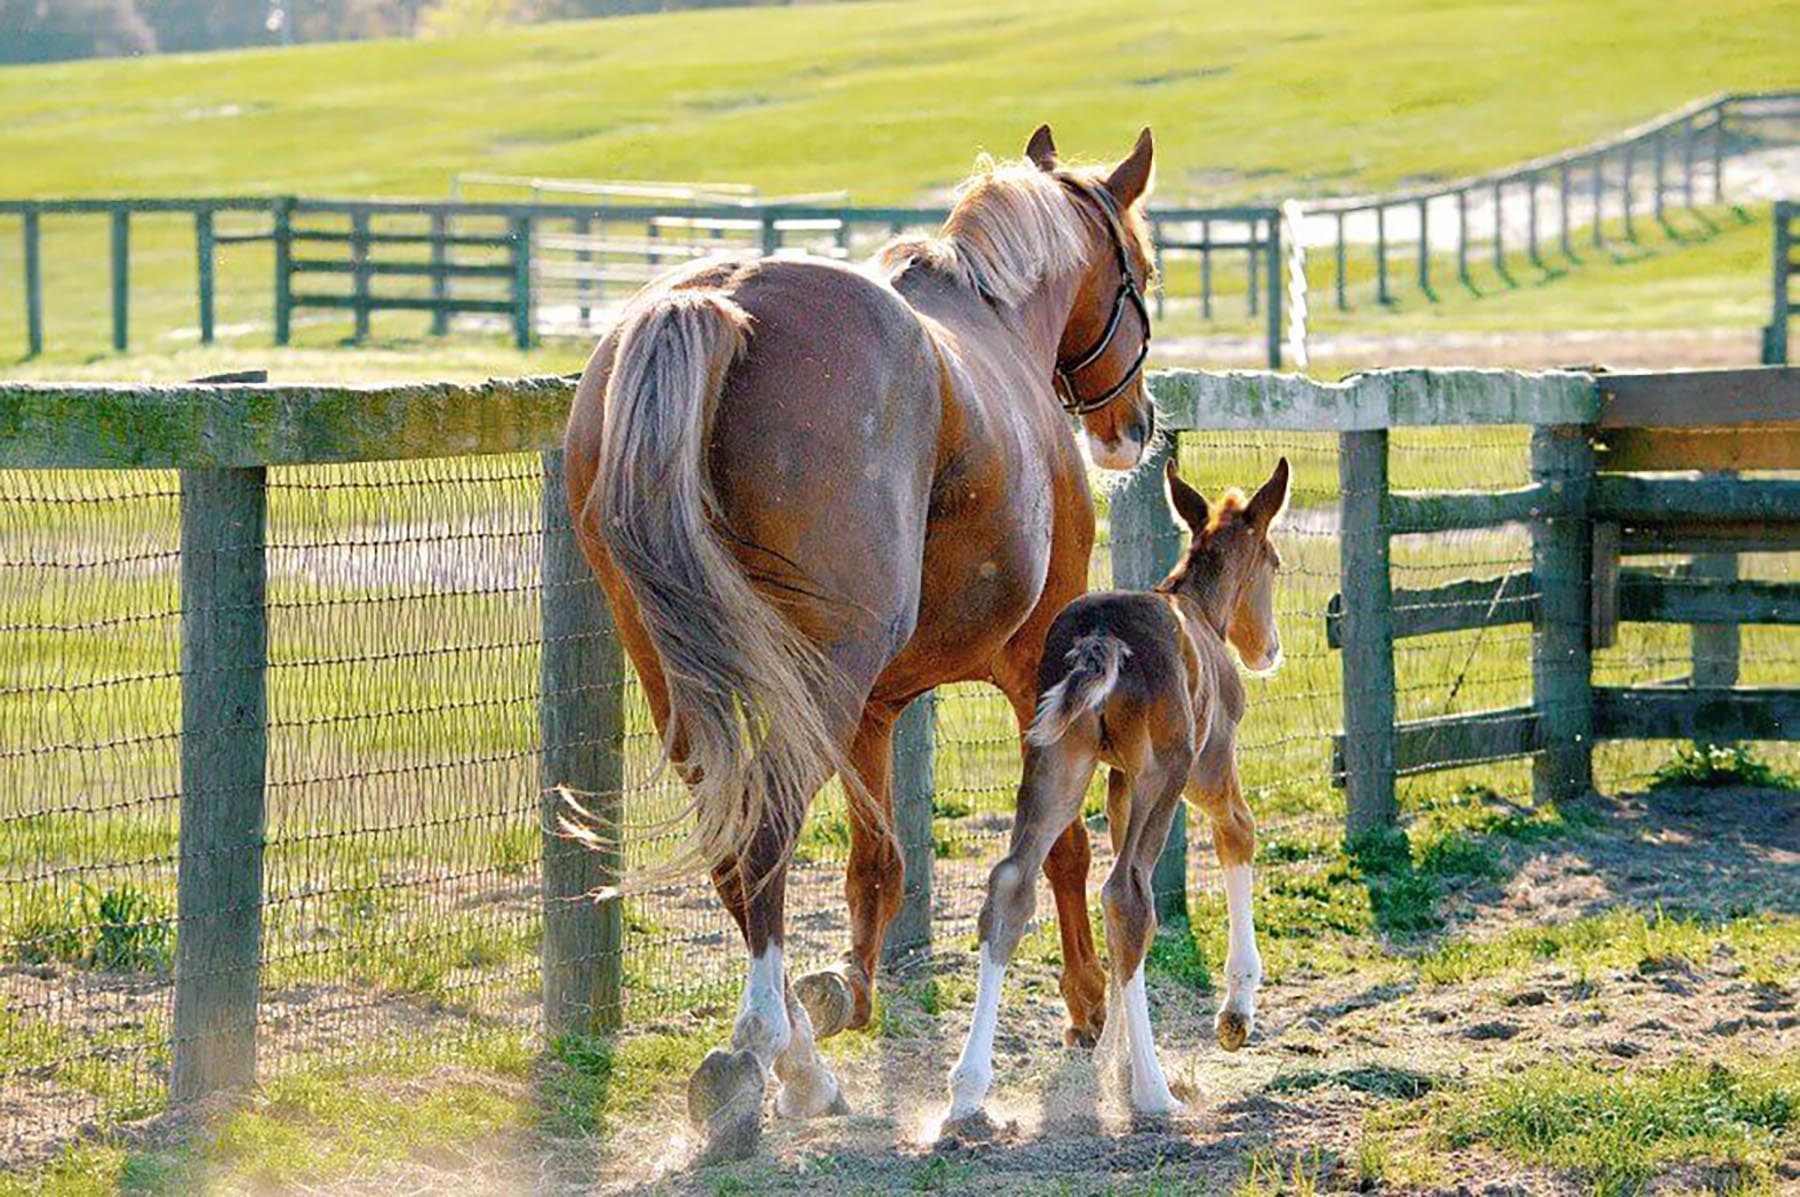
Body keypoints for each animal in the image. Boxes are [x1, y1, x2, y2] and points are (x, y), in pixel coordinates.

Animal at [562, 125, 1159, 1159]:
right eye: (1144, 272)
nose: (1138, 424)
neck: (995, 322)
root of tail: (717, 298)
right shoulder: (1034, 663)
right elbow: (1062, 848)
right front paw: (1086, 1004)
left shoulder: (875, 708)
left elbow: (876, 865)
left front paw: (849, 990)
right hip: (816, 683)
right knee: (762, 836)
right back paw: (768, 1055)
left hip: (695, 685)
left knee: (735, 847)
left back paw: (792, 1052)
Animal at [947, 456, 1290, 1124]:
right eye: (1276, 562)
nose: (1270, 649)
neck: (1198, 609)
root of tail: (1099, 638)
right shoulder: (1208, 765)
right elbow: (1239, 830)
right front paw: (1236, 1012)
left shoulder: (1117, 783)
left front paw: (1107, 1055)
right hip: (1168, 770)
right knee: (1128, 893)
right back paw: (1154, 1094)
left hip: (1055, 761)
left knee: (1011, 884)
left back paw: (967, 1091)